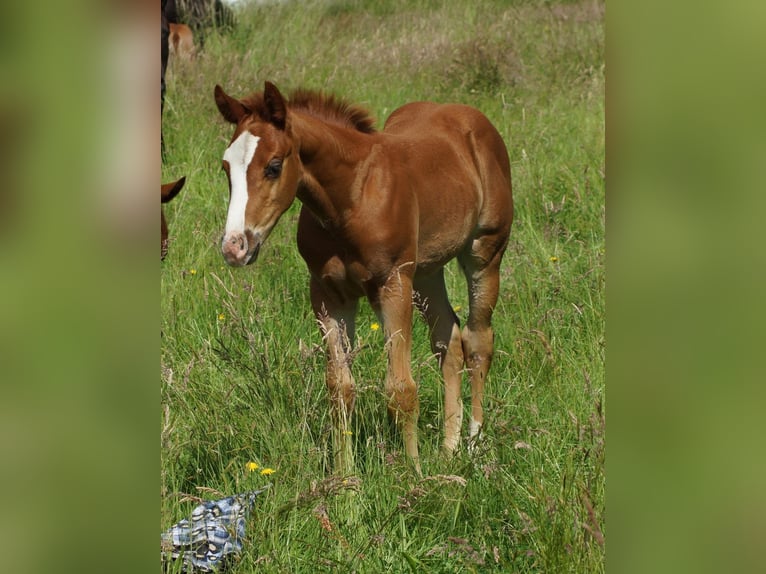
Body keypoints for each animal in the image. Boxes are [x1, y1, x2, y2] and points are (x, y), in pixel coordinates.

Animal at [214, 82, 513, 475]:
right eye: (225, 168)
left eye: (274, 166)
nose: (234, 246)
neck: (352, 197)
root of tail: (470, 116)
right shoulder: (328, 294)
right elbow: (340, 387)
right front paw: (344, 478)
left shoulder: (392, 285)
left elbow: (400, 389)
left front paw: (412, 474)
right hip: (427, 271)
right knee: (447, 340)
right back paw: (448, 450)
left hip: (483, 254)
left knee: (478, 341)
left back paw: (473, 445)